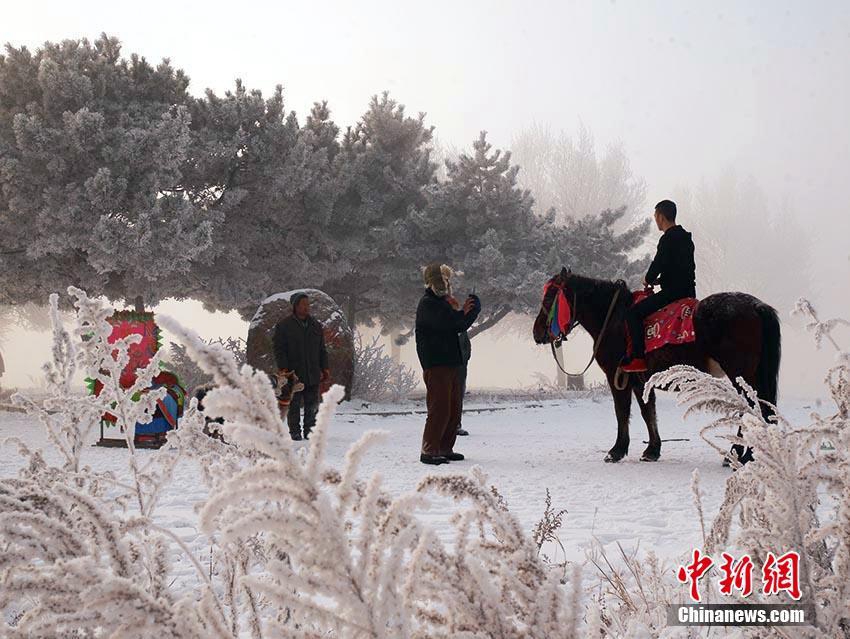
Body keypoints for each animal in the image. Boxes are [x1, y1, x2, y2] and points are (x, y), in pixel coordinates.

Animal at [532, 268, 780, 462]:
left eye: (550, 297)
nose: (537, 332)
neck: (613, 319)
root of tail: (756, 306)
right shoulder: (639, 380)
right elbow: (647, 411)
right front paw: (652, 450)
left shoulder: (616, 376)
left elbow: (622, 411)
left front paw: (616, 451)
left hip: (740, 373)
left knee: (753, 407)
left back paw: (739, 454)